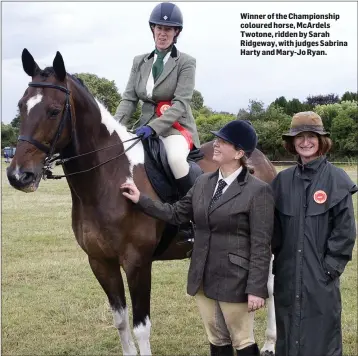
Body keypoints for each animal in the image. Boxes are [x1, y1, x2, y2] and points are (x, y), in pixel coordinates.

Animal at [5, 48, 276, 354]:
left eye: (53, 111)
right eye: (21, 106)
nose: (19, 176)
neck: (107, 181)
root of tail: (259, 157)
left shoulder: (137, 262)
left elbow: (141, 327)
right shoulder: (101, 262)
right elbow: (121, 321)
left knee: (269, 287)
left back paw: (269, 342)